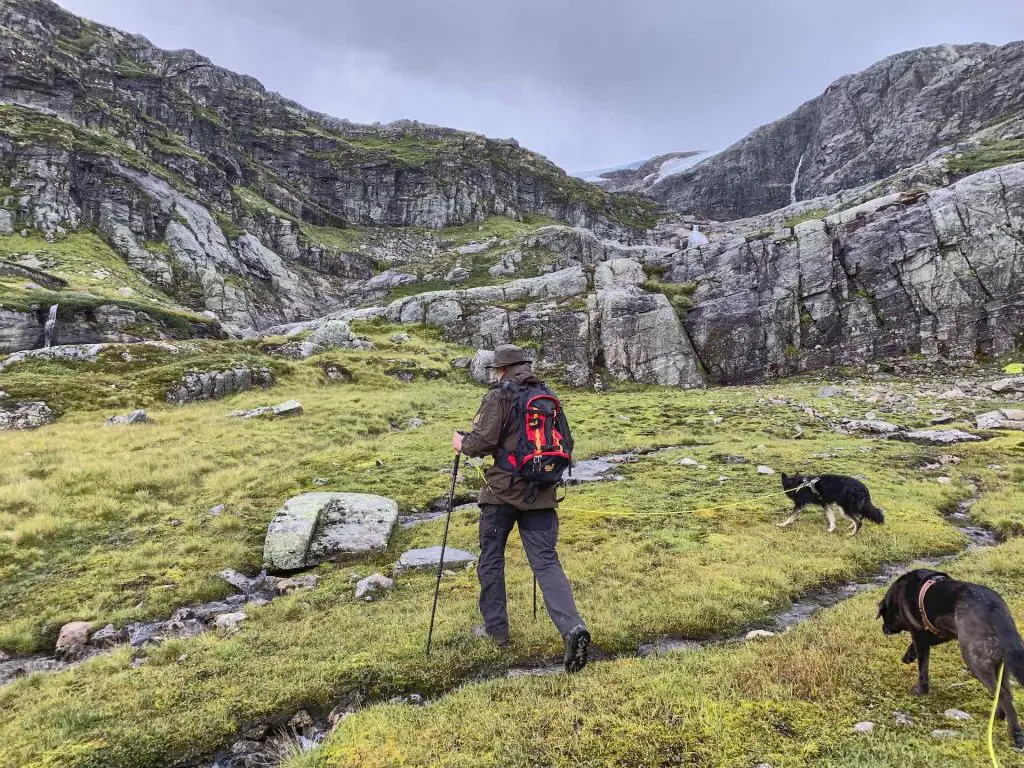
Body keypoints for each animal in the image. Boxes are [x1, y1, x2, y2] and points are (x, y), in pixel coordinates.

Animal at [872, 569, 1024, 749]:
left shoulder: (919, 633)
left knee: (1004, 696)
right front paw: (909, 655)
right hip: (1001, 665)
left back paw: (1015, 735)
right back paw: (997, 716)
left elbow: (923, 668)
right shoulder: (943, 632)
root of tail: (996, 610)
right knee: (1005, 692)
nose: (883, 629)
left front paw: (920, 690)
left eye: (884, 616)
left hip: (975, 659)